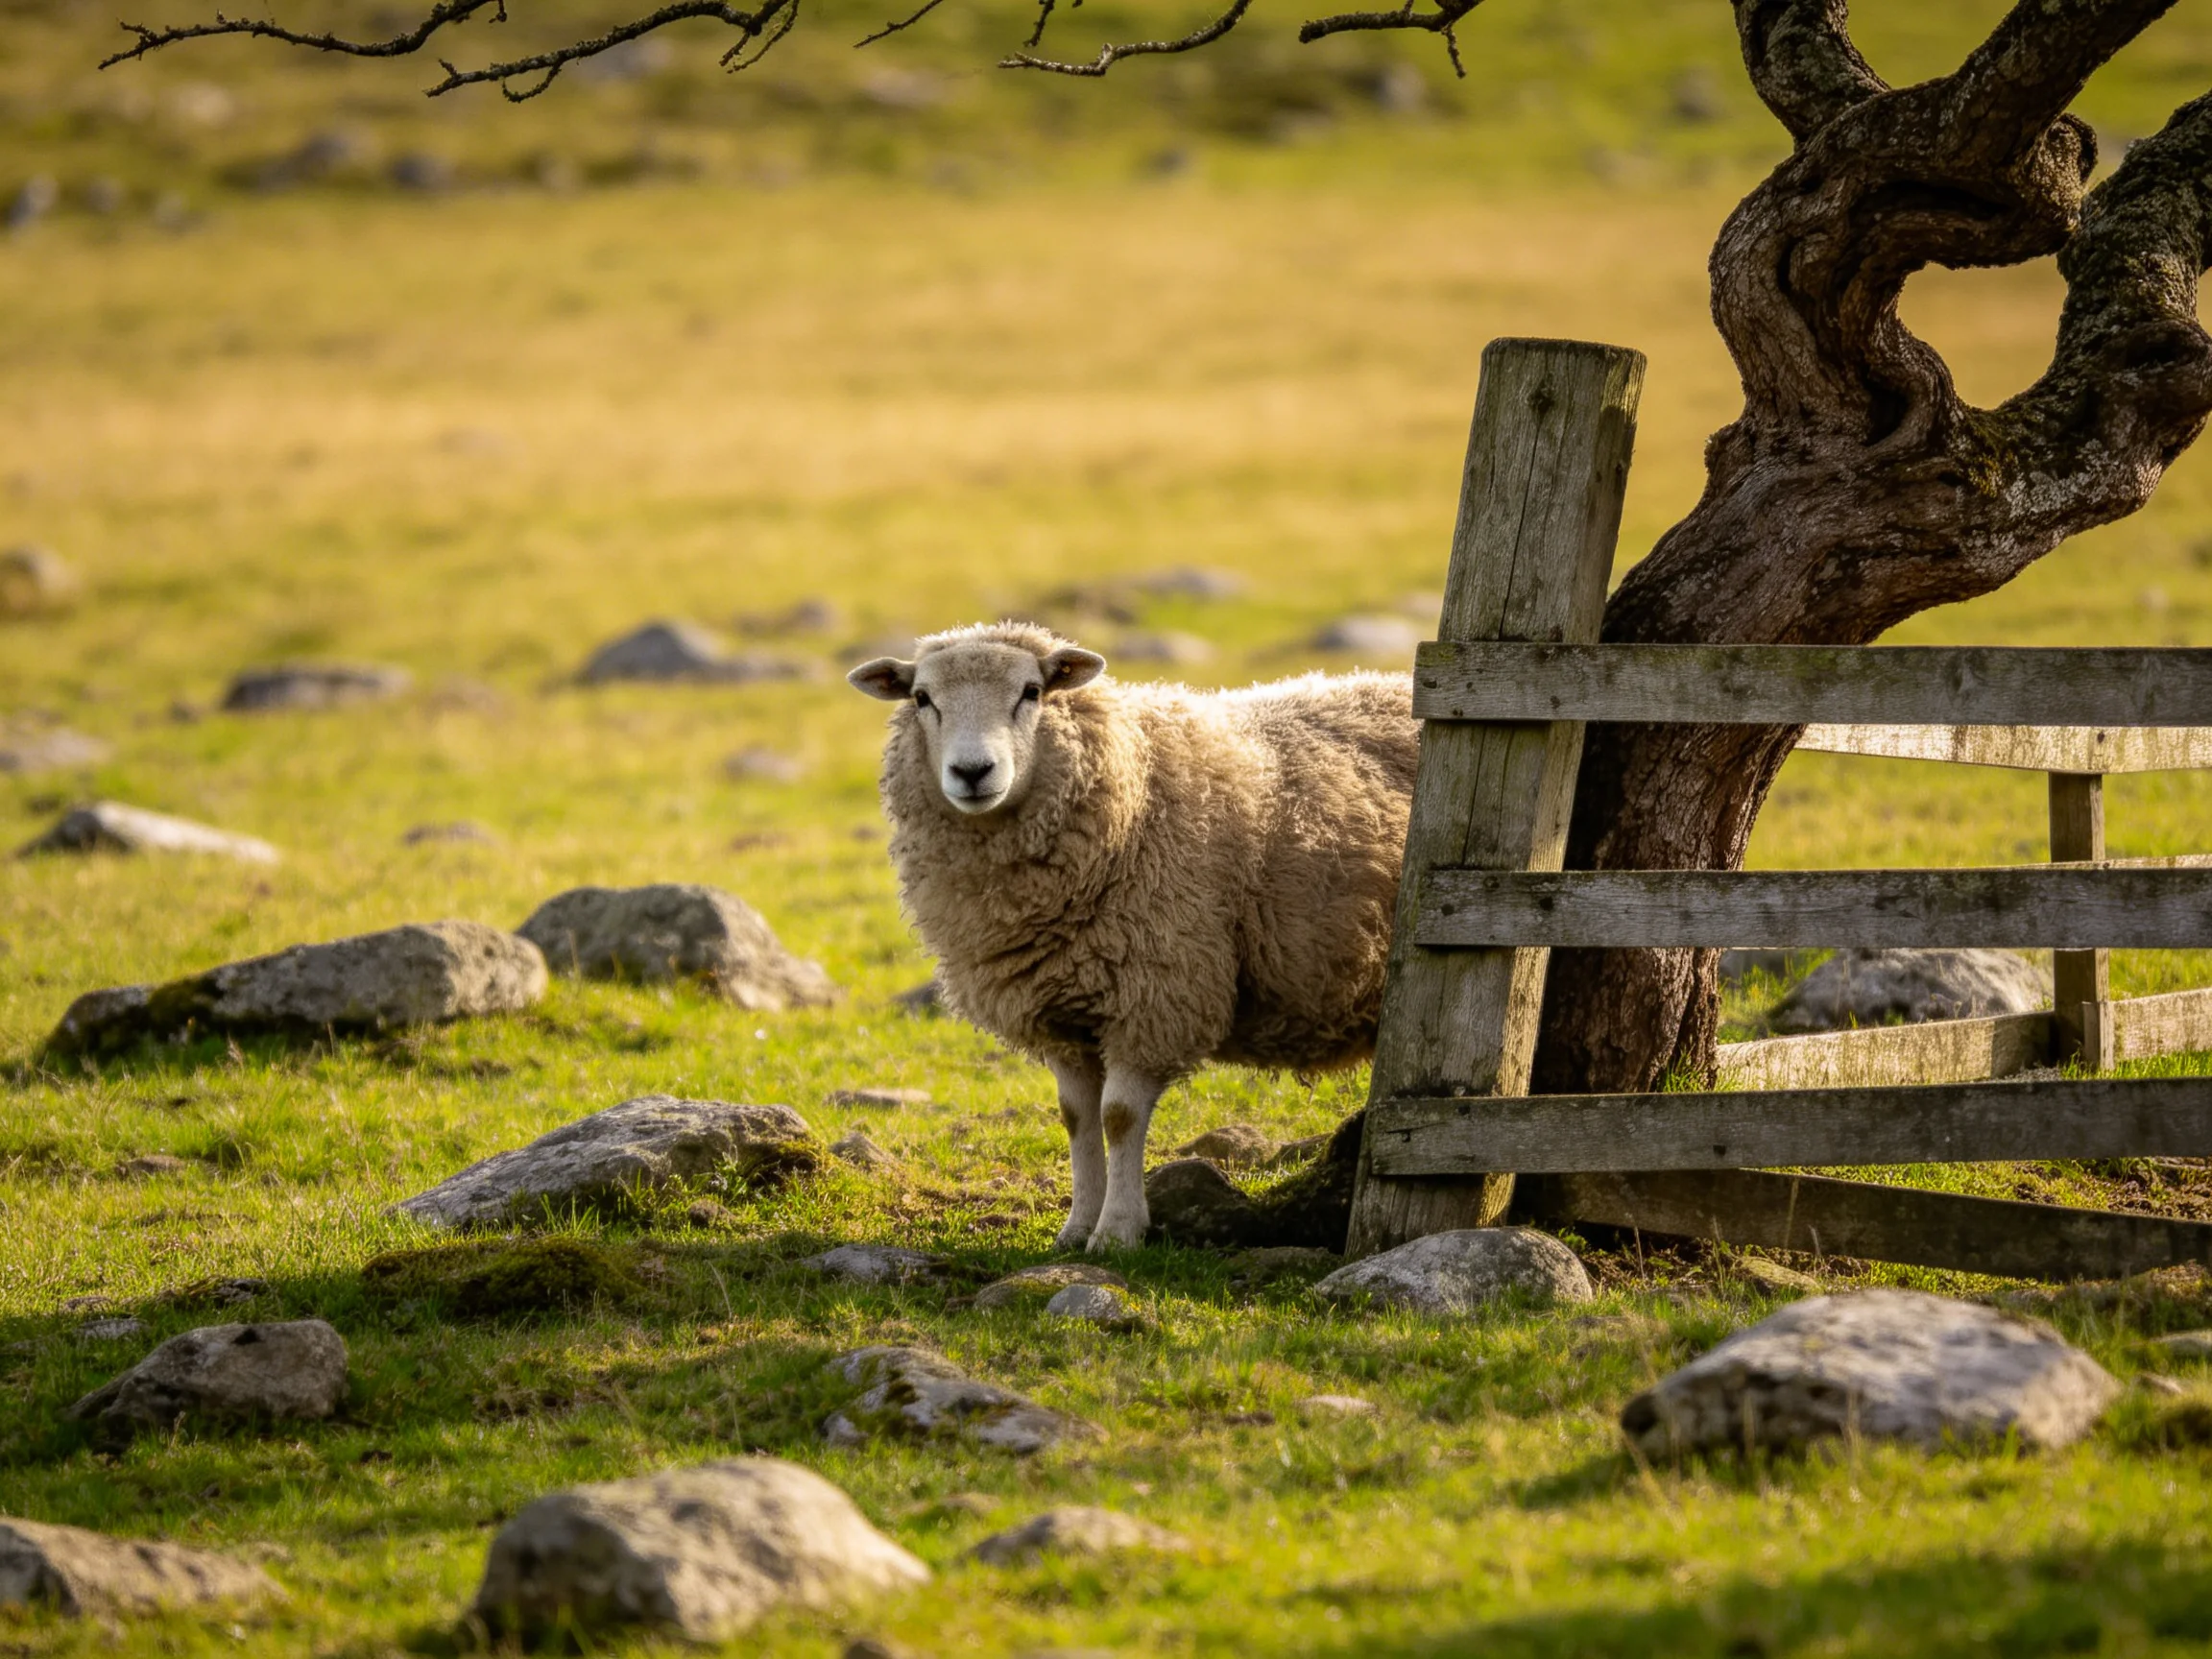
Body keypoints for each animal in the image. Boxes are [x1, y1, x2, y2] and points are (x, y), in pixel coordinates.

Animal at [848, 620, 1419, 1251]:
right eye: (922, 698)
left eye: (1031, 691)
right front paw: (1076, 1227)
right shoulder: (1057, 1012)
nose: (973, 772)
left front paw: (1117, 1232)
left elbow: (1118, 1116)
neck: (1133, 784)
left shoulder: (1154, 994)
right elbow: (1075, 1116)